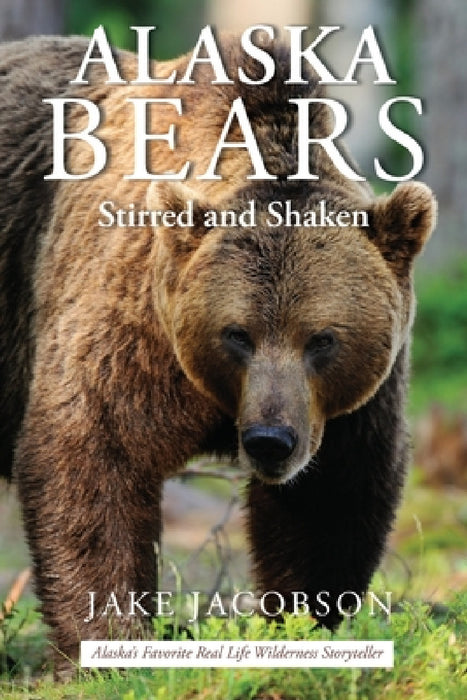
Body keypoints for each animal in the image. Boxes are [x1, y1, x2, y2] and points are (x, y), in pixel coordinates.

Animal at [0, 33, 436, 676]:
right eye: (237, 334)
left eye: (322, 338)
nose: (269, 440)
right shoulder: (128, 321)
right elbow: (92, 453)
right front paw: (109, 647)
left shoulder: (352, 404)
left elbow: (330, 498)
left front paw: (305, 627)